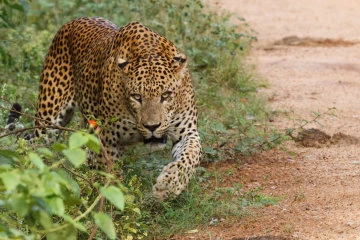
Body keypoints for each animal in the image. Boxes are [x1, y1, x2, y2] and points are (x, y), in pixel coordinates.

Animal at [32, 17, 201, 200]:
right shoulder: (107, 141)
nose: (152, 127)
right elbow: (110, 176)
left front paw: (169, 185)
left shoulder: (187, 132)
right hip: (47, 120)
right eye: (136, 96)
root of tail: (73, 21)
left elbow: (191, 156)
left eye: (166, 95)